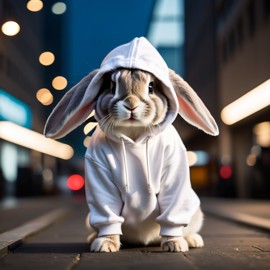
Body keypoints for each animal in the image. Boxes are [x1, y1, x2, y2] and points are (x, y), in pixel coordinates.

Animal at [43, 37, 217, 253]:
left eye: (151, 87)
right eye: (111, 86)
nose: (131, 104)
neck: (134, 137)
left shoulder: (174, 173)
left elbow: (171, 213)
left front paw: (174, 244)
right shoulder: (98, 174)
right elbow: (108, 214)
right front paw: (106, 245)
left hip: (194, 212)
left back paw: (192, 240)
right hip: (89, 218)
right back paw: (93, 239)